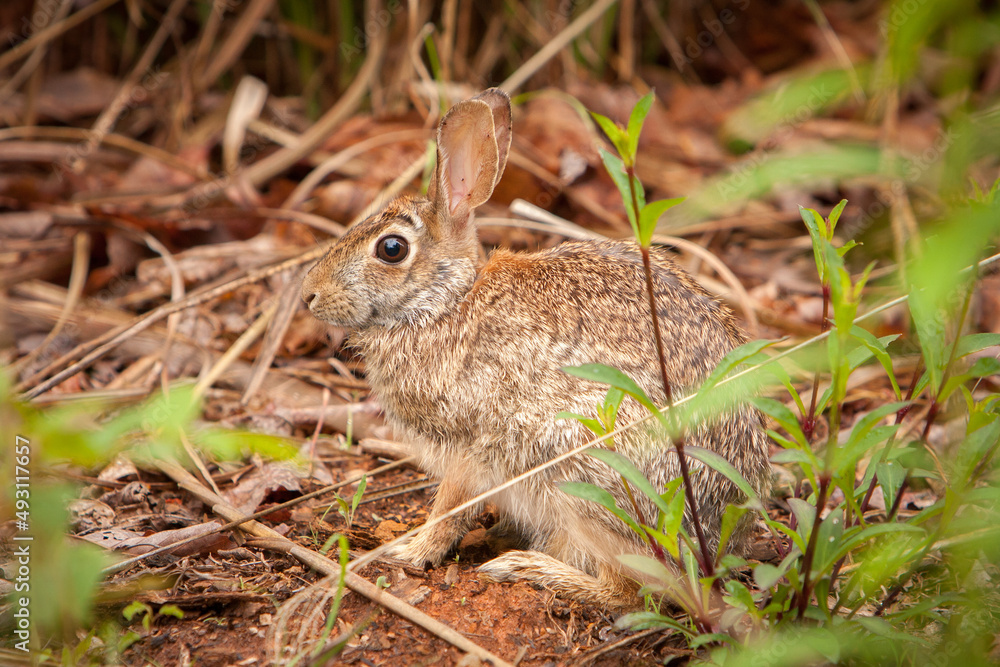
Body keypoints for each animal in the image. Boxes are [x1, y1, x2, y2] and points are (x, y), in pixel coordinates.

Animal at [300, 88, 772, 610]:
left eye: (391, 249)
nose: (309, 294)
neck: (446, 302)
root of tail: (715, 543)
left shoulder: (472, 444)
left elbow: (450, 507)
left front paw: (411, 550)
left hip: (585, 474)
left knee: (629, 591)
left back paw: (526, 568)